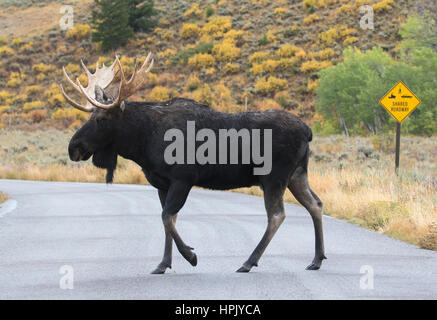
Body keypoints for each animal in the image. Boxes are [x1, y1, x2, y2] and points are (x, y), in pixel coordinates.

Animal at [61, 53, 326, 274]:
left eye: (101, 119)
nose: (73, 147)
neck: (142, 142)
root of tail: (308, 131)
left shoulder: (183, 178)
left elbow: (167, 217)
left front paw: (190, 256)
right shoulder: (161, 183)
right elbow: (168, 219)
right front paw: (163, 264)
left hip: (274, 176)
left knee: (277, 215)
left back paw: (249, 262)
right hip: (297, 174)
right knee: (315, 204)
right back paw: (316, 259)